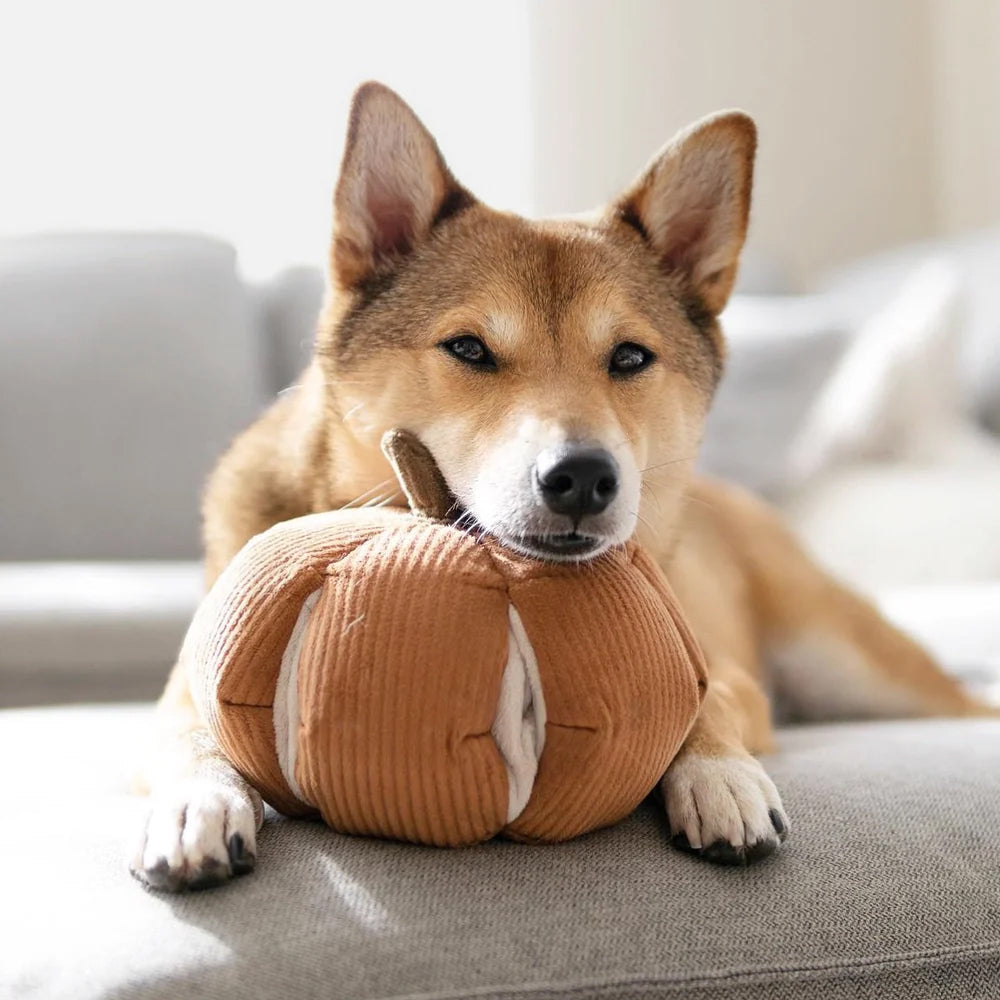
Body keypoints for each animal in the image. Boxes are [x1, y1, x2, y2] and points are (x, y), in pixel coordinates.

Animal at [131, 80, 992, 892]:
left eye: (630, 357)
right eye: (469, 348)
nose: (583, 477)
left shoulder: (730, 673)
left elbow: (704, 698)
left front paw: (719, 772)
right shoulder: (184, 681)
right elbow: (189, 725)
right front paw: (194, 799)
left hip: (861, 664)